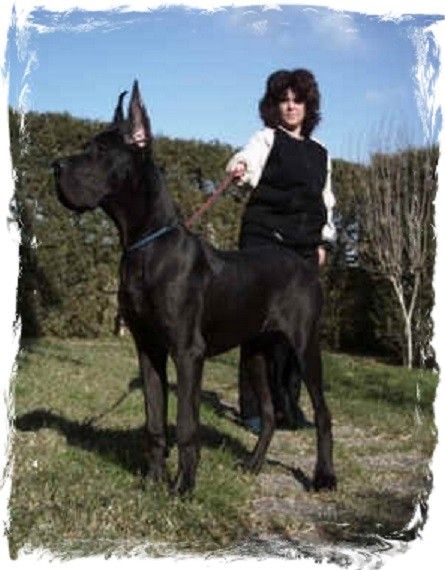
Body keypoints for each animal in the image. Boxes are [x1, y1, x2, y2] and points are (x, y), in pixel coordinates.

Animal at [53, 81, 336, 495]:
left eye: (101, 152)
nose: (54, 167)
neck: (145, 245)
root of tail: (301, 263)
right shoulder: (148, 348)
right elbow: (155, 421)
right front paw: (153, 482)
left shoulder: (187, 352)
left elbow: (187, 425)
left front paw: (183, 487)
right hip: (255, 352)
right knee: (268, 415)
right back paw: (253, 463)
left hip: (304, 346)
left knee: (323, 413)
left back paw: (324, 476)